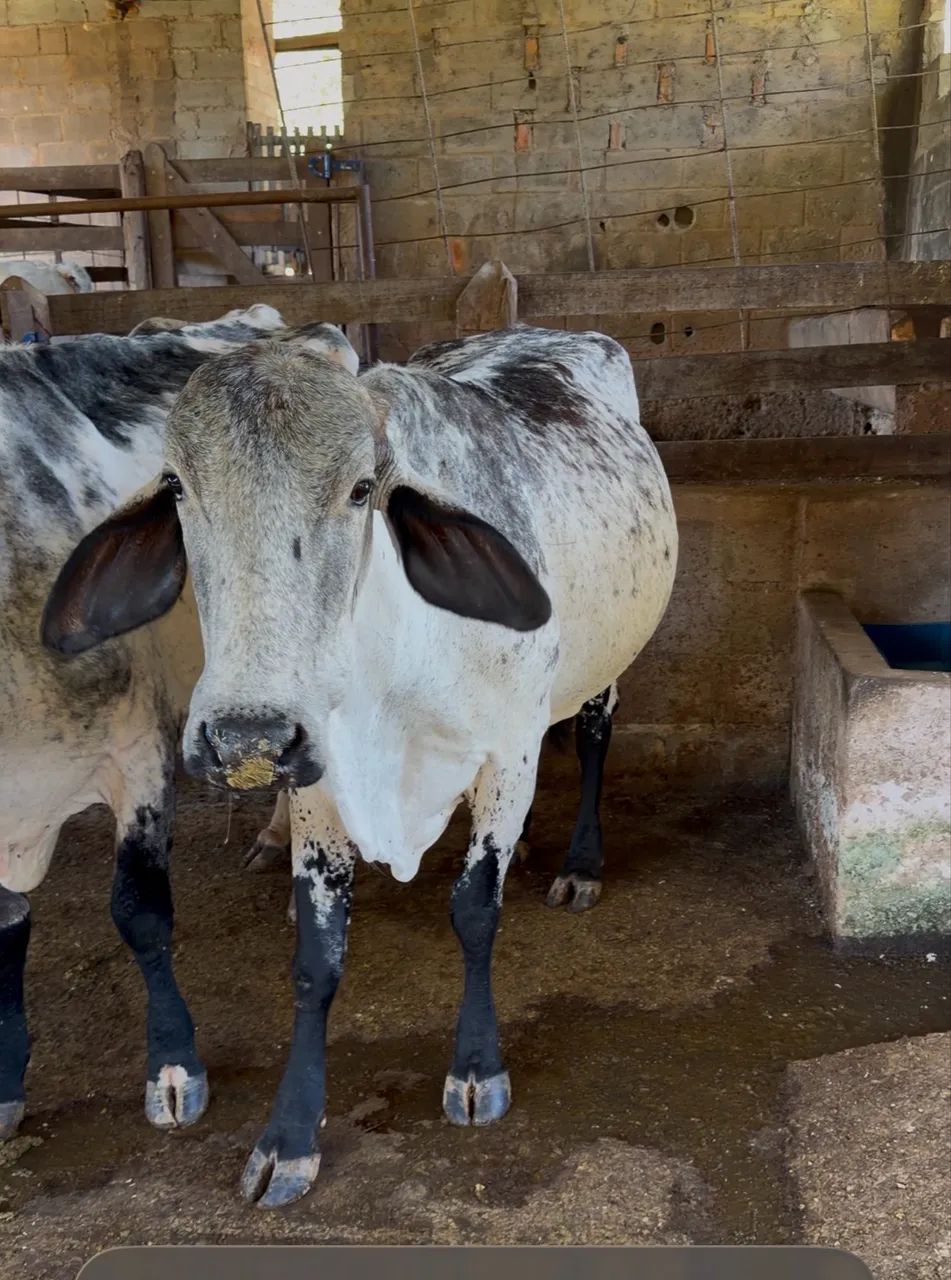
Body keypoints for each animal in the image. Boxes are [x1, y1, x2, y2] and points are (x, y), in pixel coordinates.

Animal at [41, 324, 678, 1207]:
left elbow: (475, 911)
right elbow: (317, 958)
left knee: (590, 734)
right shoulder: (320, 786)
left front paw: (475, 1069)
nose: (247, 738)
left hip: (605, 663)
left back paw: (580, 862)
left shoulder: (508, 754)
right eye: (175, 486)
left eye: (361, 489)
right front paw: (289, 1137)